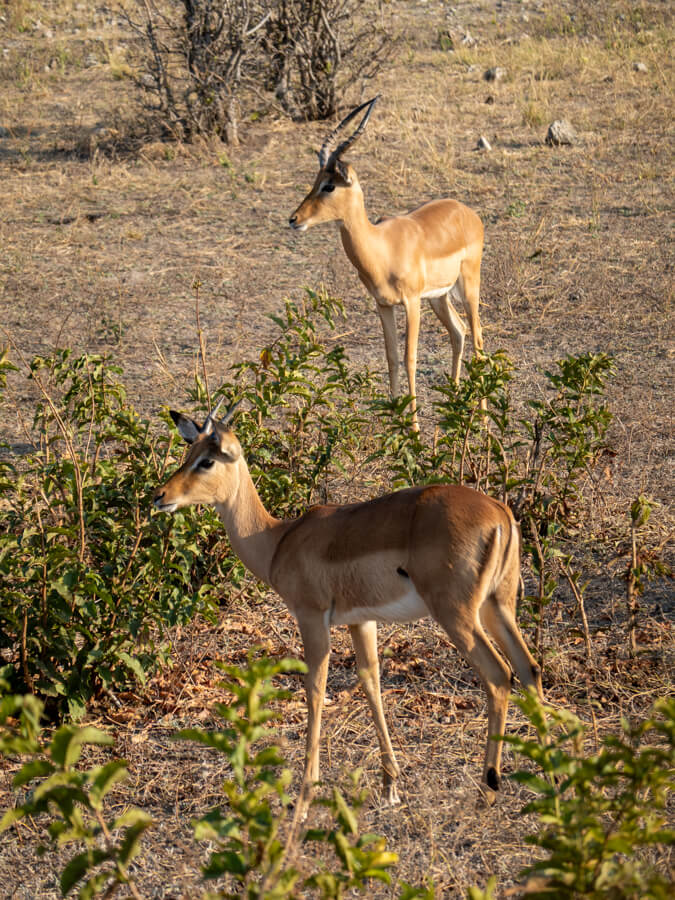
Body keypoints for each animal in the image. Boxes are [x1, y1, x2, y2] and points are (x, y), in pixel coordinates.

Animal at [153, 401, 544, 812]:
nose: (159, 495)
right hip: (496, 607)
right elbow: (371, 682)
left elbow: (315, 689)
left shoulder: (311, 617)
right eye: (188, 453)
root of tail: (500, 514)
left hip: (457, 614)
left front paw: (305, 796)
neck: (277, 540)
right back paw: (554, 776)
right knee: (529, 669)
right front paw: (390, 786)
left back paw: (488, 791)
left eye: (207, 461)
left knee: (499, 676)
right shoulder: (362, 621)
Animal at [289, 96, 485, 428]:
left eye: (329, 185)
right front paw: (394, 423)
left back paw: (482, 420)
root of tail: (467, 212)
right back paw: (455, 404)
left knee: (478, 338)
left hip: (468, 287)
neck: (382, 247)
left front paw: (415, 429)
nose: (294, 219)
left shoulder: (411, 302)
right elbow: (391, 357)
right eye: (315, 181)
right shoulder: (383, 305)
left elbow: (409, 358)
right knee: (459, 332)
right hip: (440, 297)